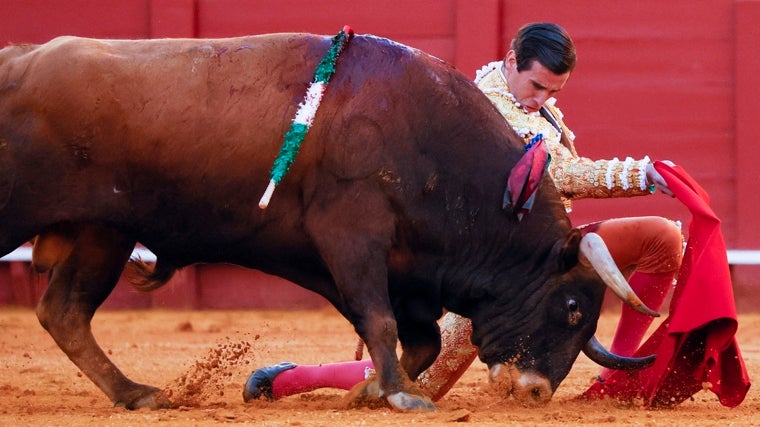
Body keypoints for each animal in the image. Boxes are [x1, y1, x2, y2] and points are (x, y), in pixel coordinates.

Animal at [0, 31, 652, 412]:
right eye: (573, 307)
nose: (536, 391)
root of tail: (16, 60)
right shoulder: (353, 238)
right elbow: (382, 321)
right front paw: (401, 397)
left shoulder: (399, 269)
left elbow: (416, 337)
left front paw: (372, 390)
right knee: (65, 311)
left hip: (101, 233)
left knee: (64, 312)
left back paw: (137, 394)